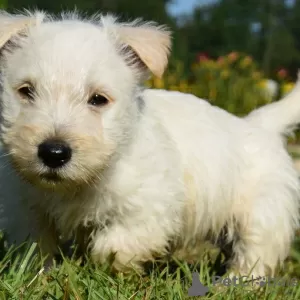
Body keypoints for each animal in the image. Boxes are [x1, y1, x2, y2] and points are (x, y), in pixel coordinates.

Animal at [0, 11, 300, 278]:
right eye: (26, 91)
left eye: (98, 99)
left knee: (255, 255)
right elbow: (37, 246)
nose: (53, 153)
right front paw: (41, 275)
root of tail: (258, 124)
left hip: (262, 216)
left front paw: (103, 268)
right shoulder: (27, 208)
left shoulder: (148, 207)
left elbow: (114, 244)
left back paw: (232, 285)